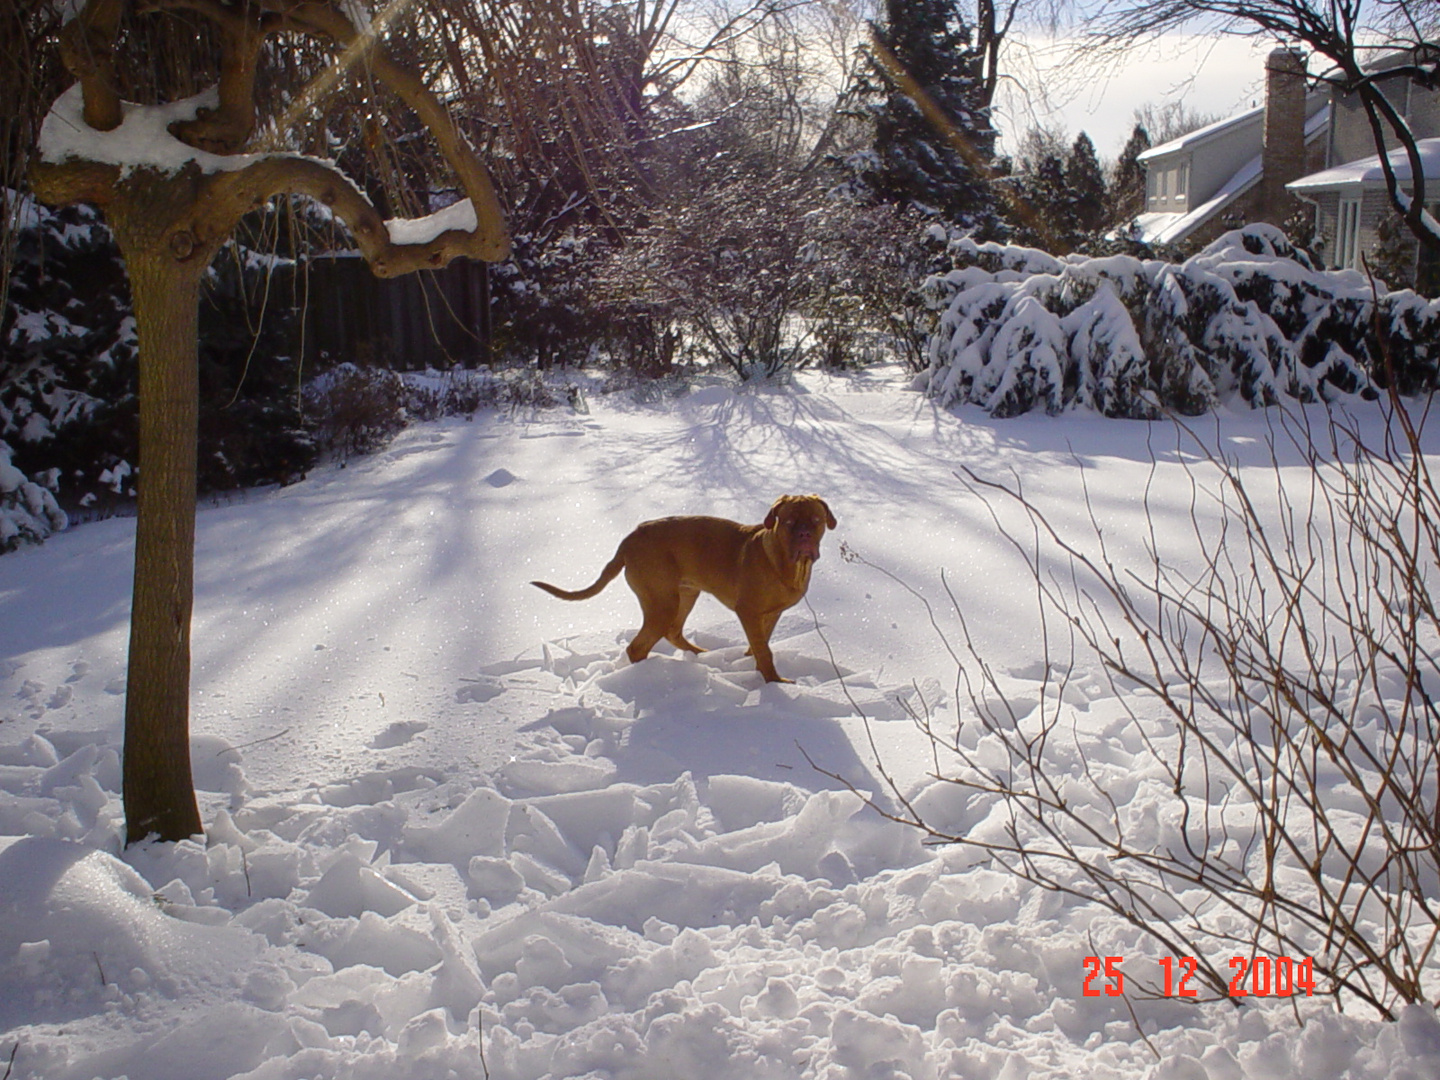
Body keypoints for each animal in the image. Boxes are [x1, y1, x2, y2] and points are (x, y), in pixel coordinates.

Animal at [535, 495, 840, 679]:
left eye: (815, 520)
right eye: (788, 522)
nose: (804, 535)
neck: (786, 564)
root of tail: (629, 539)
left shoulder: (771, 614)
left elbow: (759, 644)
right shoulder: (748, 611)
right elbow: (764, 651)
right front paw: (774, 685)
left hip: (685, 594)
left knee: (673, 632)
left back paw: (700, 655)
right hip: (662, 602)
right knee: (638, 647)